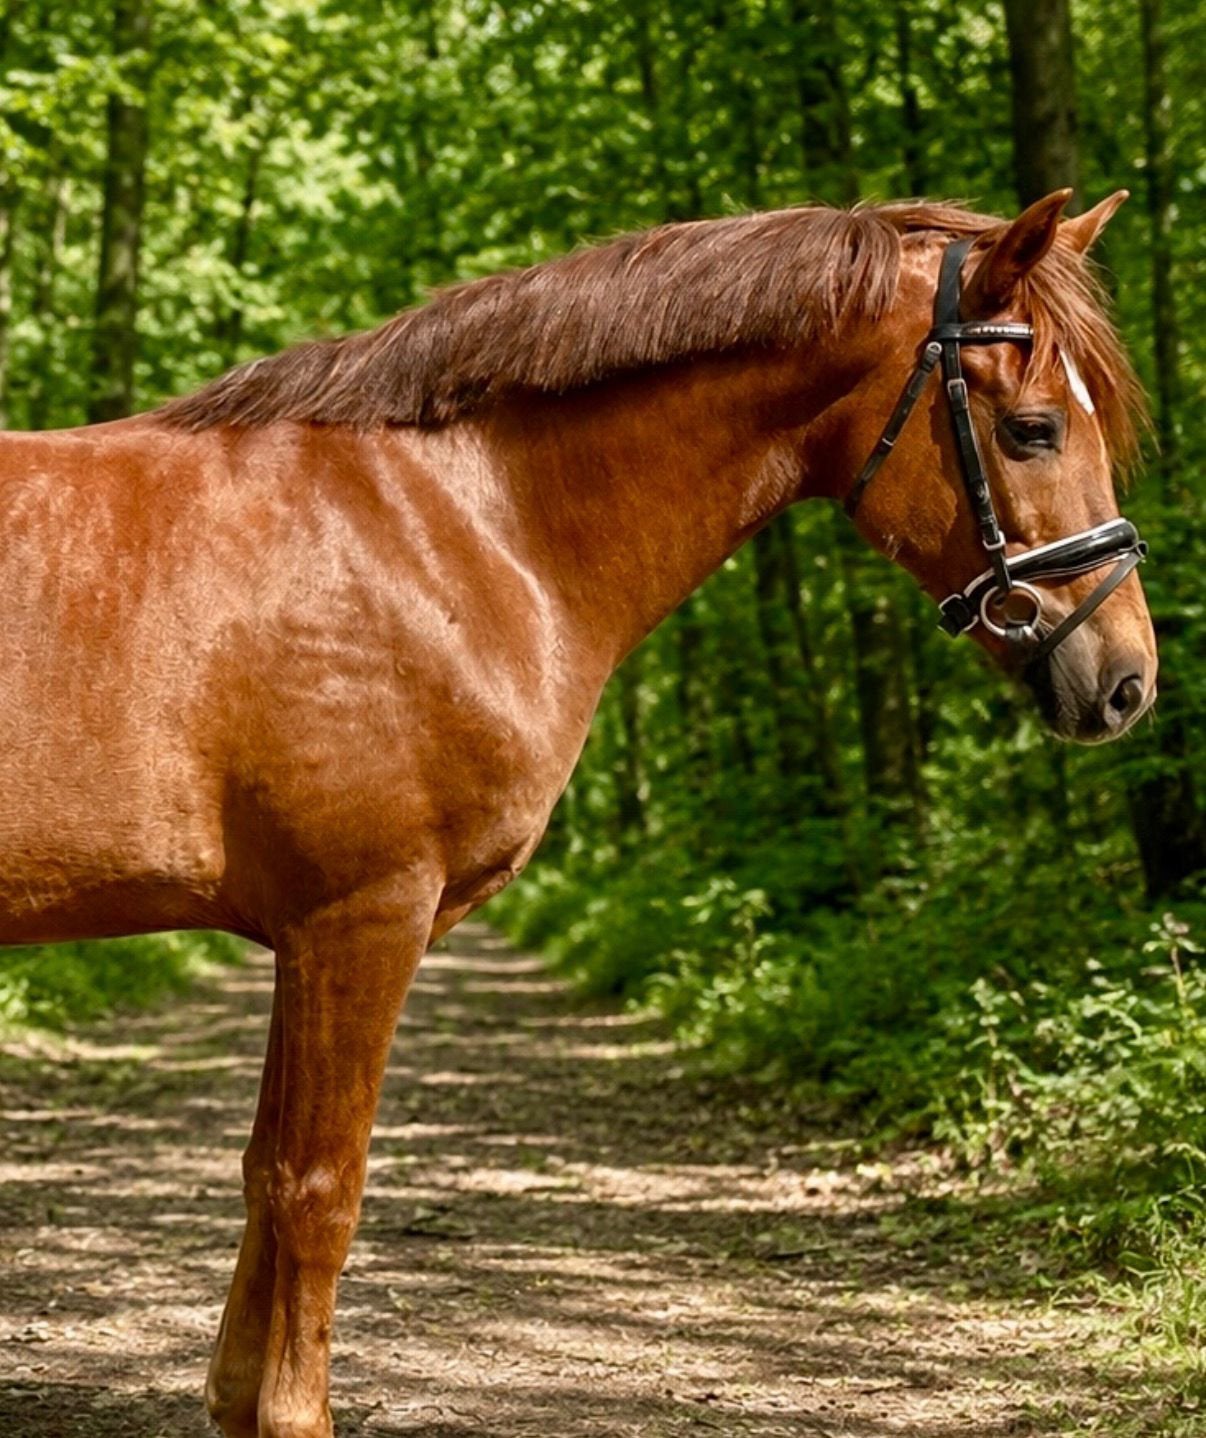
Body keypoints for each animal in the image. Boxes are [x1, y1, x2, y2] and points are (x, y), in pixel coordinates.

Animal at [0, 188, 1155, 1437]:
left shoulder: (316, 935)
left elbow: (268, 1173)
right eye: (1033, 429)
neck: (453, 528)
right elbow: (315, 1186)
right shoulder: (357, 921)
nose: (1127, 676)